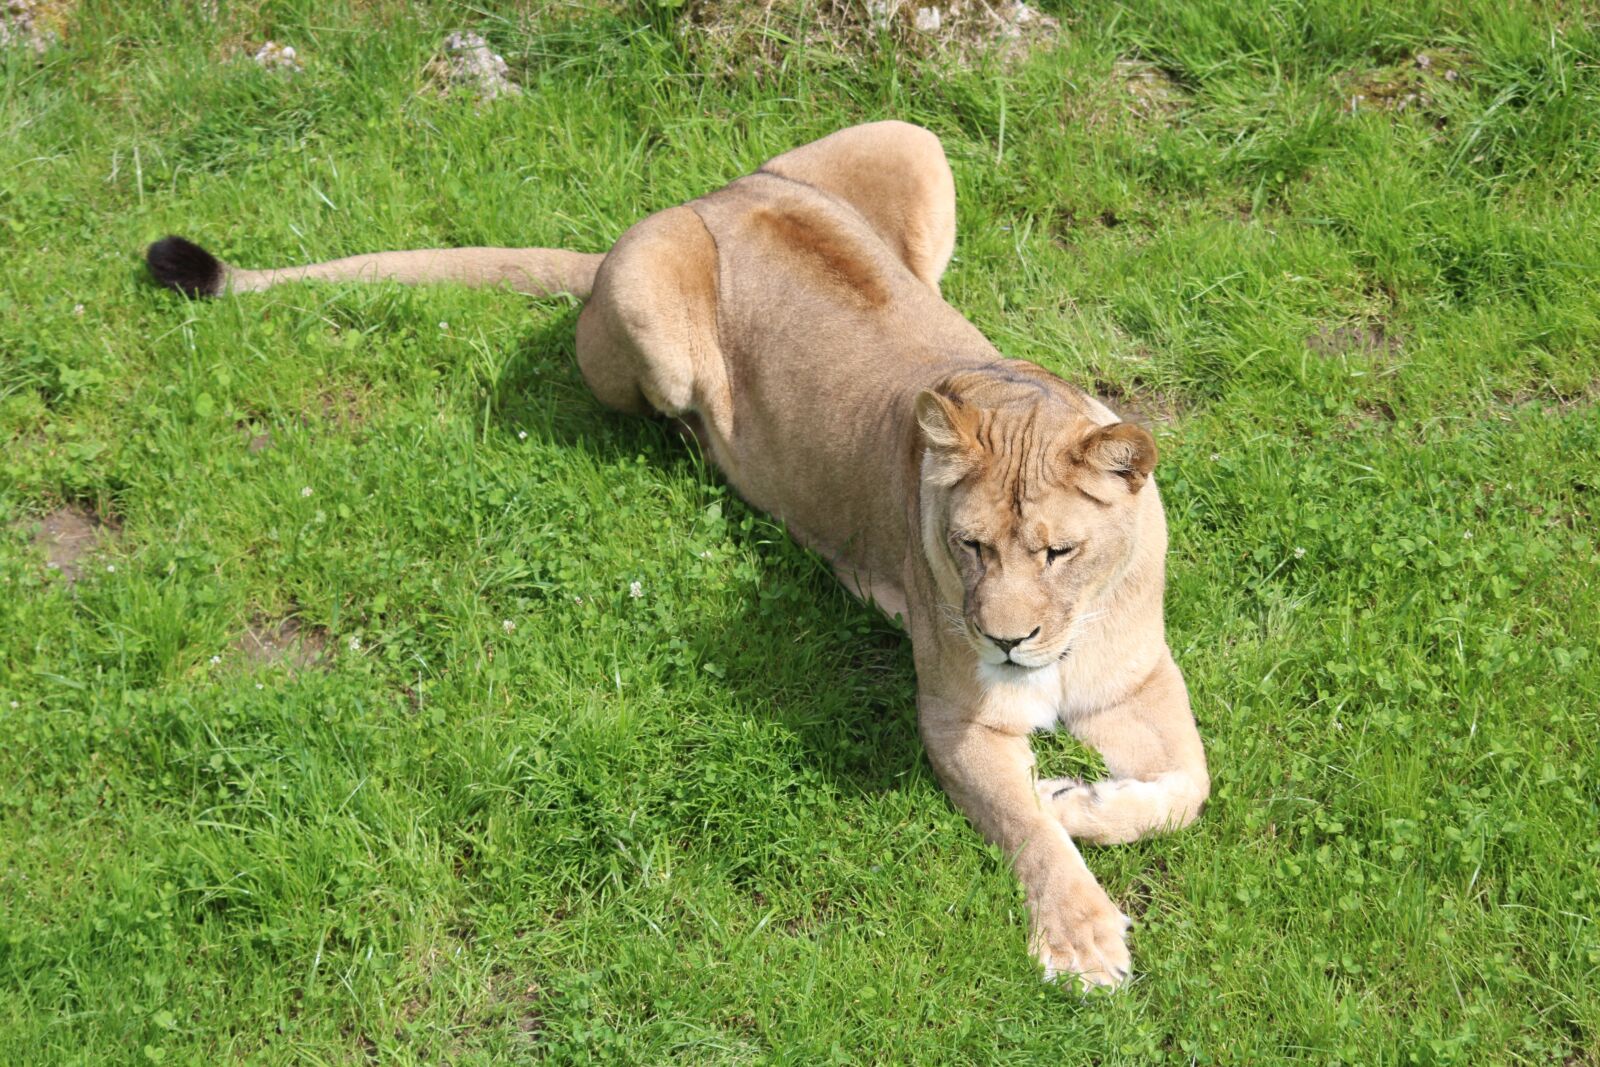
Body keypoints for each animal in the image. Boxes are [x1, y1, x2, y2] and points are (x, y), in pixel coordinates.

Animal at [146, 121, 1209, 989]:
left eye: (1059, 550)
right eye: (968, 545)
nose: (1006, 640)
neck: (1067, 637)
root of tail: (708, 197)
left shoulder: (1138, 678)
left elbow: (1186, 790)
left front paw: (1079, 796)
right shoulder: (955, 718)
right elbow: (1027, 825)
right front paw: (1080, 930)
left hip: (913, 144)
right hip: (654, 314)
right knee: (673, 409)